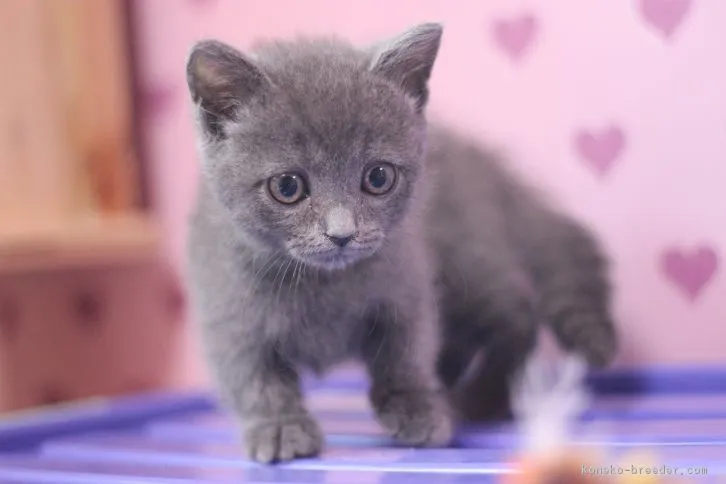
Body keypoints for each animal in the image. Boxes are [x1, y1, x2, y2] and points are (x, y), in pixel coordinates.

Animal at [185, 23, 616, 466]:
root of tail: (487, 164)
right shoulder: (228, 313)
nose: (341, 233)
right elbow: (253, 378)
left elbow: (406, 351)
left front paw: (416, 409)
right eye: (287, 187)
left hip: (470, 260)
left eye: (378, 177)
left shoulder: (407, 282)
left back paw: (481, 397)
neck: (324, 284)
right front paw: (280, 427)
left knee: (516, 317)